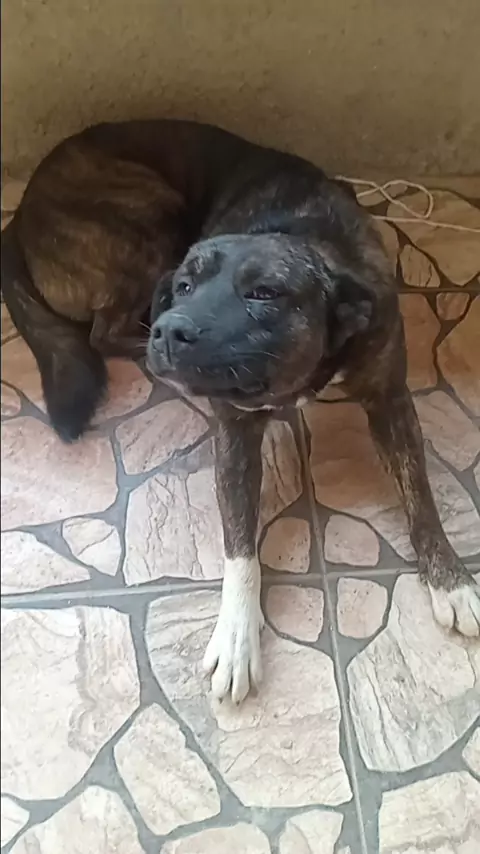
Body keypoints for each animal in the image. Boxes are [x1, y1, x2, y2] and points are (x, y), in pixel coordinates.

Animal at [2, 119, 479, 704]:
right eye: (185, 286)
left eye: (264, 293)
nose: (170, 328)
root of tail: (19, 212)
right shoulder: (234, 437)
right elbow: (239, 548)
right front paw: (235, 637)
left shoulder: (390, 401)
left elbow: (421, 497)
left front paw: (450, 580)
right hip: (147, 217)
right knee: (102, 332)